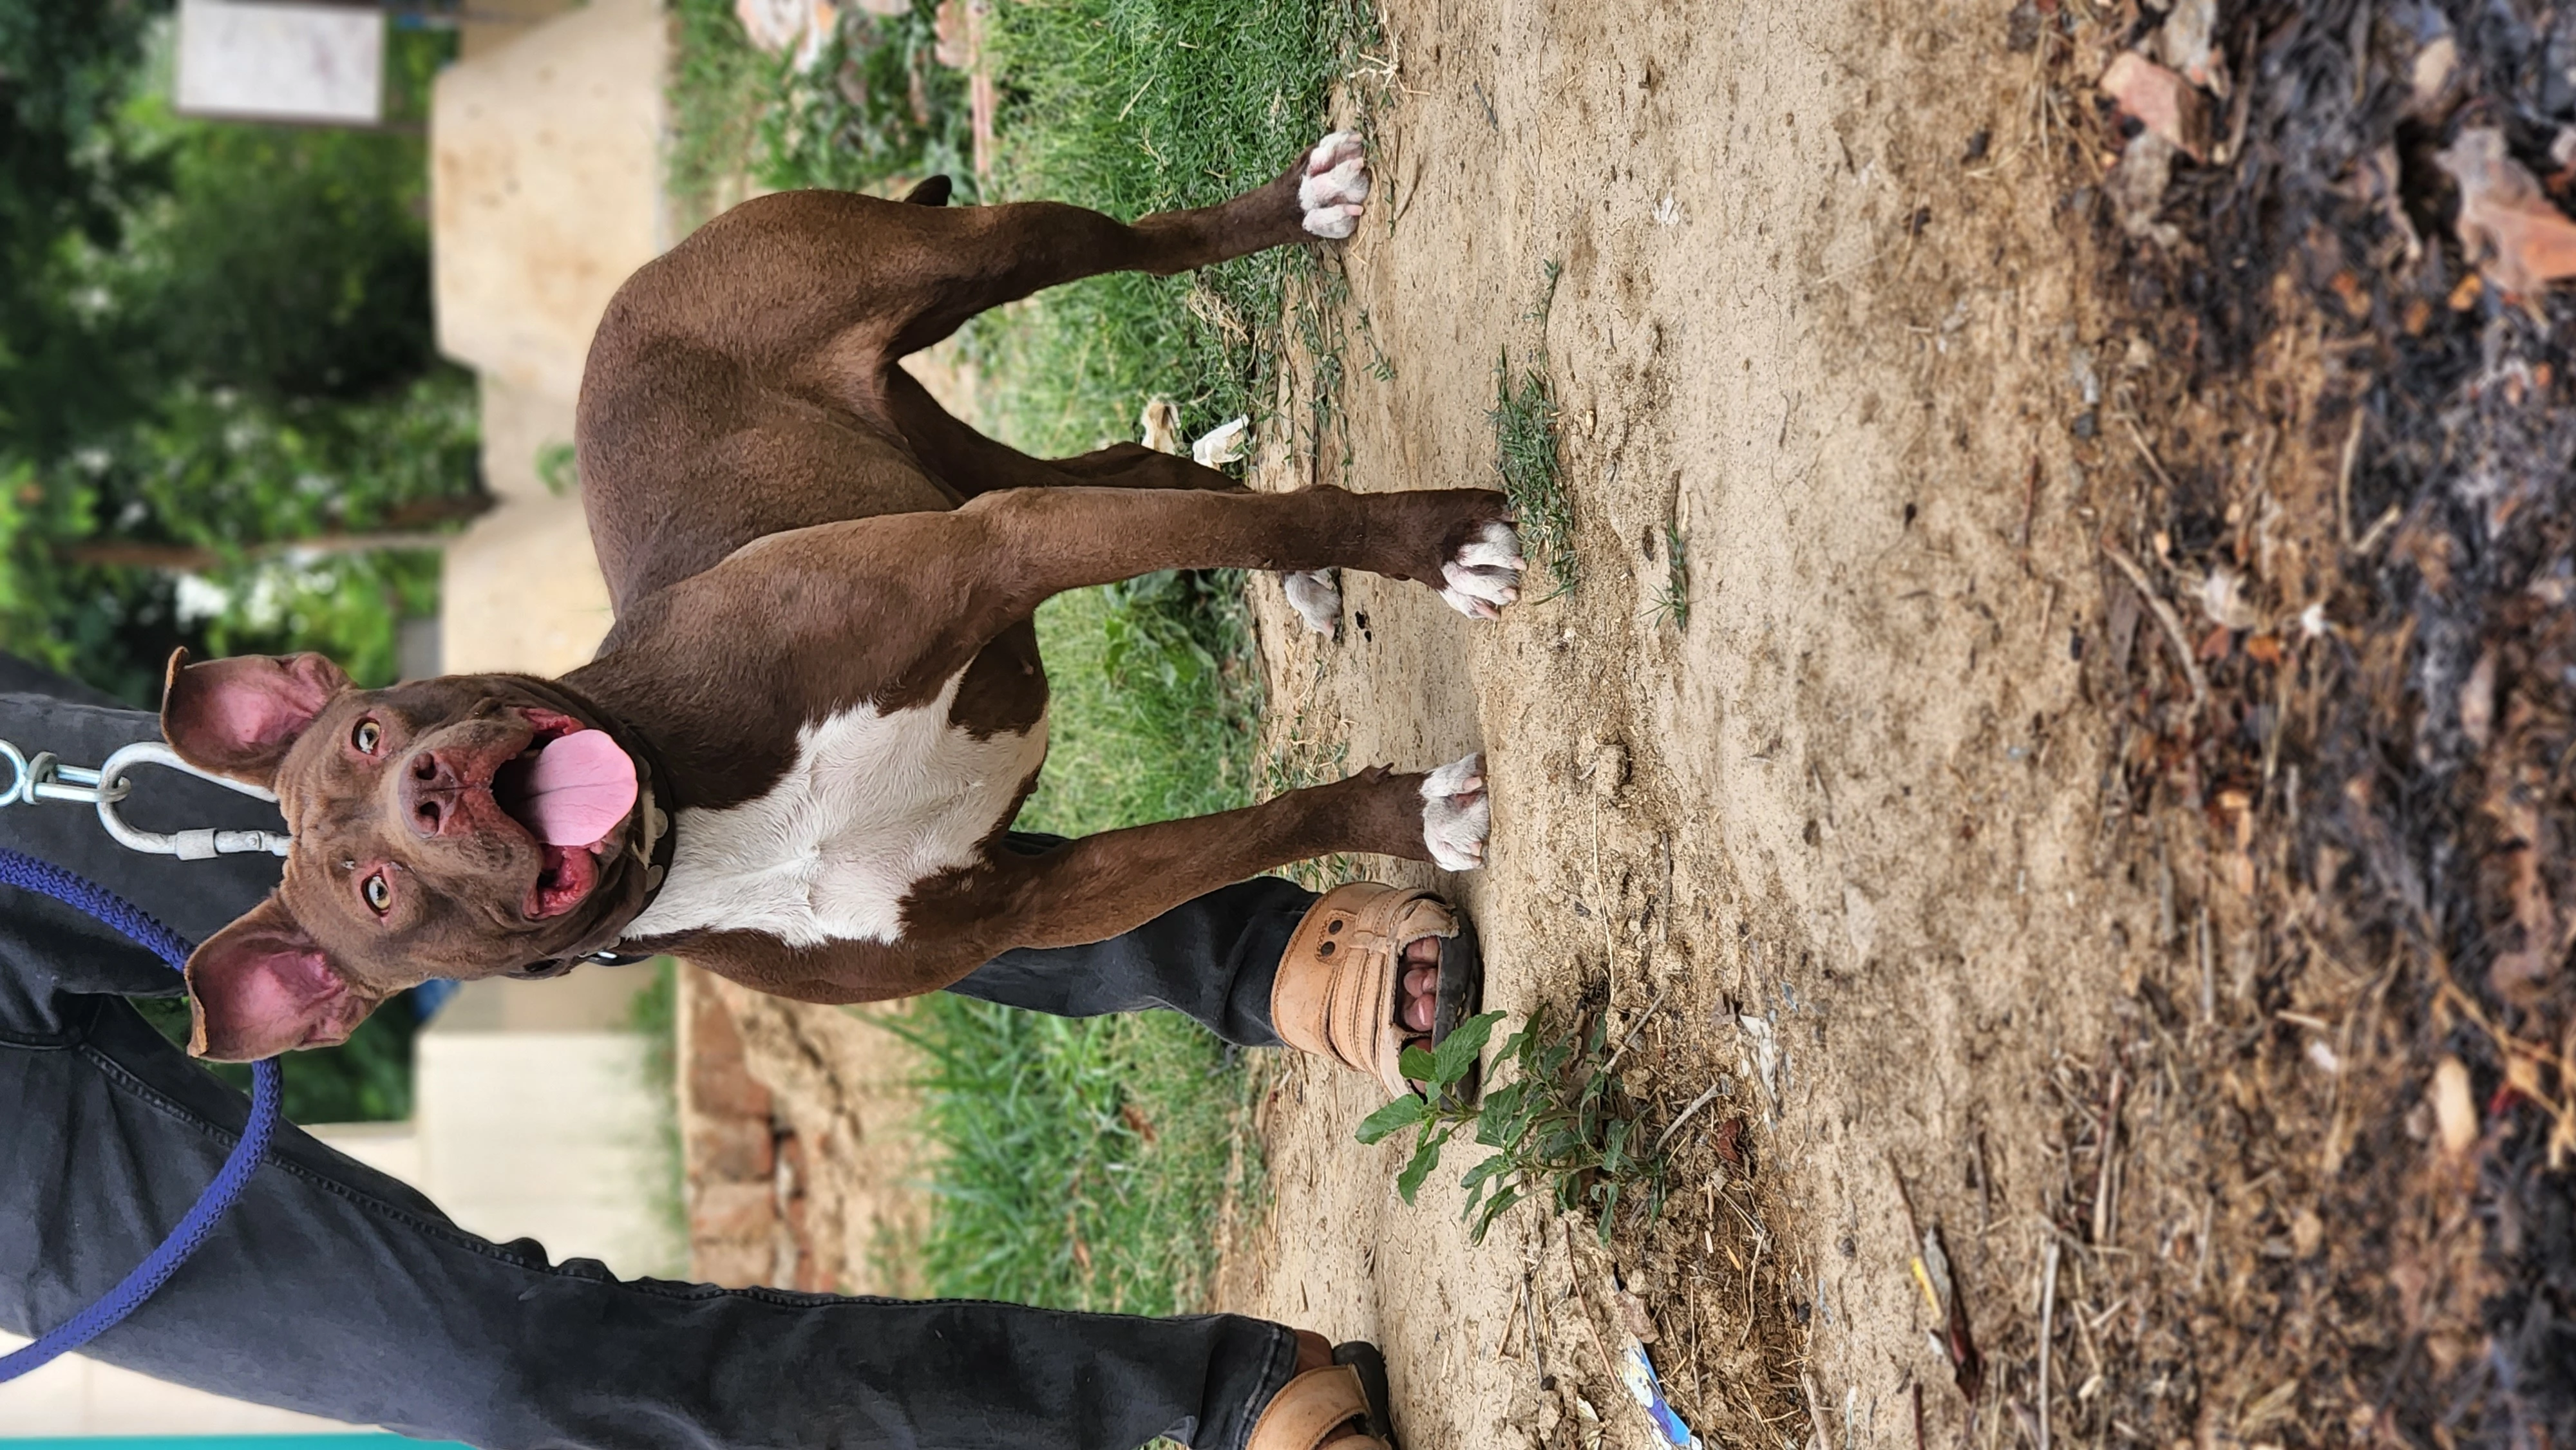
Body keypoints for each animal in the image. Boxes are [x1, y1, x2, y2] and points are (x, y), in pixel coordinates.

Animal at [166, 137, 1504, 1061]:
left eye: (370, 732)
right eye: (379, 893)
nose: (429, 789)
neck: (697, 814)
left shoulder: (999, 551)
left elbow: (1299, 511)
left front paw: (1438, 544)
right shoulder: (1041, 891)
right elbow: (1264, 824)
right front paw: (1410, 812)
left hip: (959, 261)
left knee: (1143, 246)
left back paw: (1298, 207)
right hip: (946, 456)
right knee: (1150, 467)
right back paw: (1293, 574)